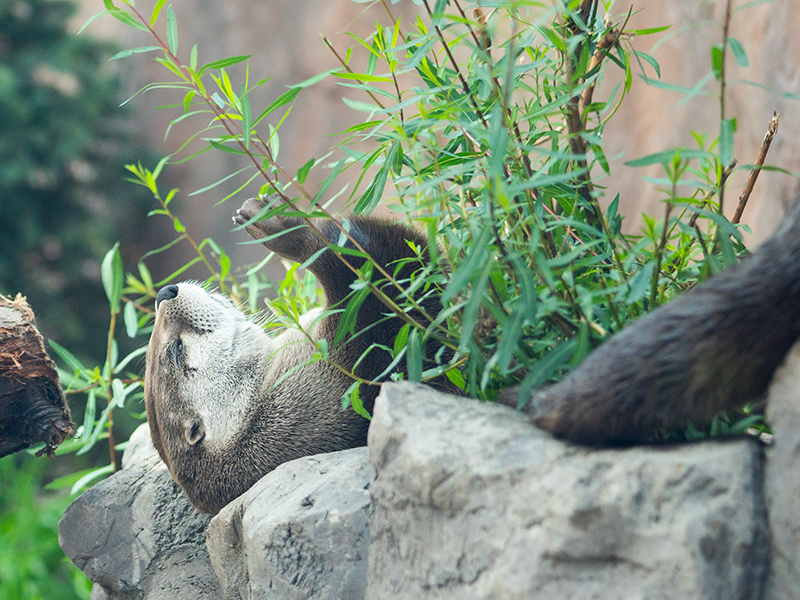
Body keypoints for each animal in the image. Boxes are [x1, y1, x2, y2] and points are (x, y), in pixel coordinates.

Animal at [145, 195, 453, 514]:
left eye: (151, 351)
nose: (164, 293)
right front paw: (280, 227)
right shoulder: (365, 348)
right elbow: (380, 265)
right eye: (177, 349)